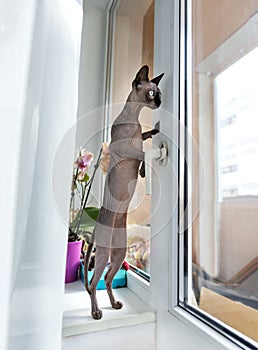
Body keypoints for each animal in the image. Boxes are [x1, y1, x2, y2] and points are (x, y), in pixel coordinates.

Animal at [85, 64, 165, 318]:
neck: (133, 117)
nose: (160, 102)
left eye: (159, 93)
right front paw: (143, 170)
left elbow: (145, 138)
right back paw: (96, 313)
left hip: (119, 255)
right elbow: (143, 153)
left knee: (109, 279)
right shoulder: (126, 150)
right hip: (102, 255)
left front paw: (154, 131)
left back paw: (114, 304)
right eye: (152, 93)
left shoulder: (137, 140)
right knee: (93, 283)